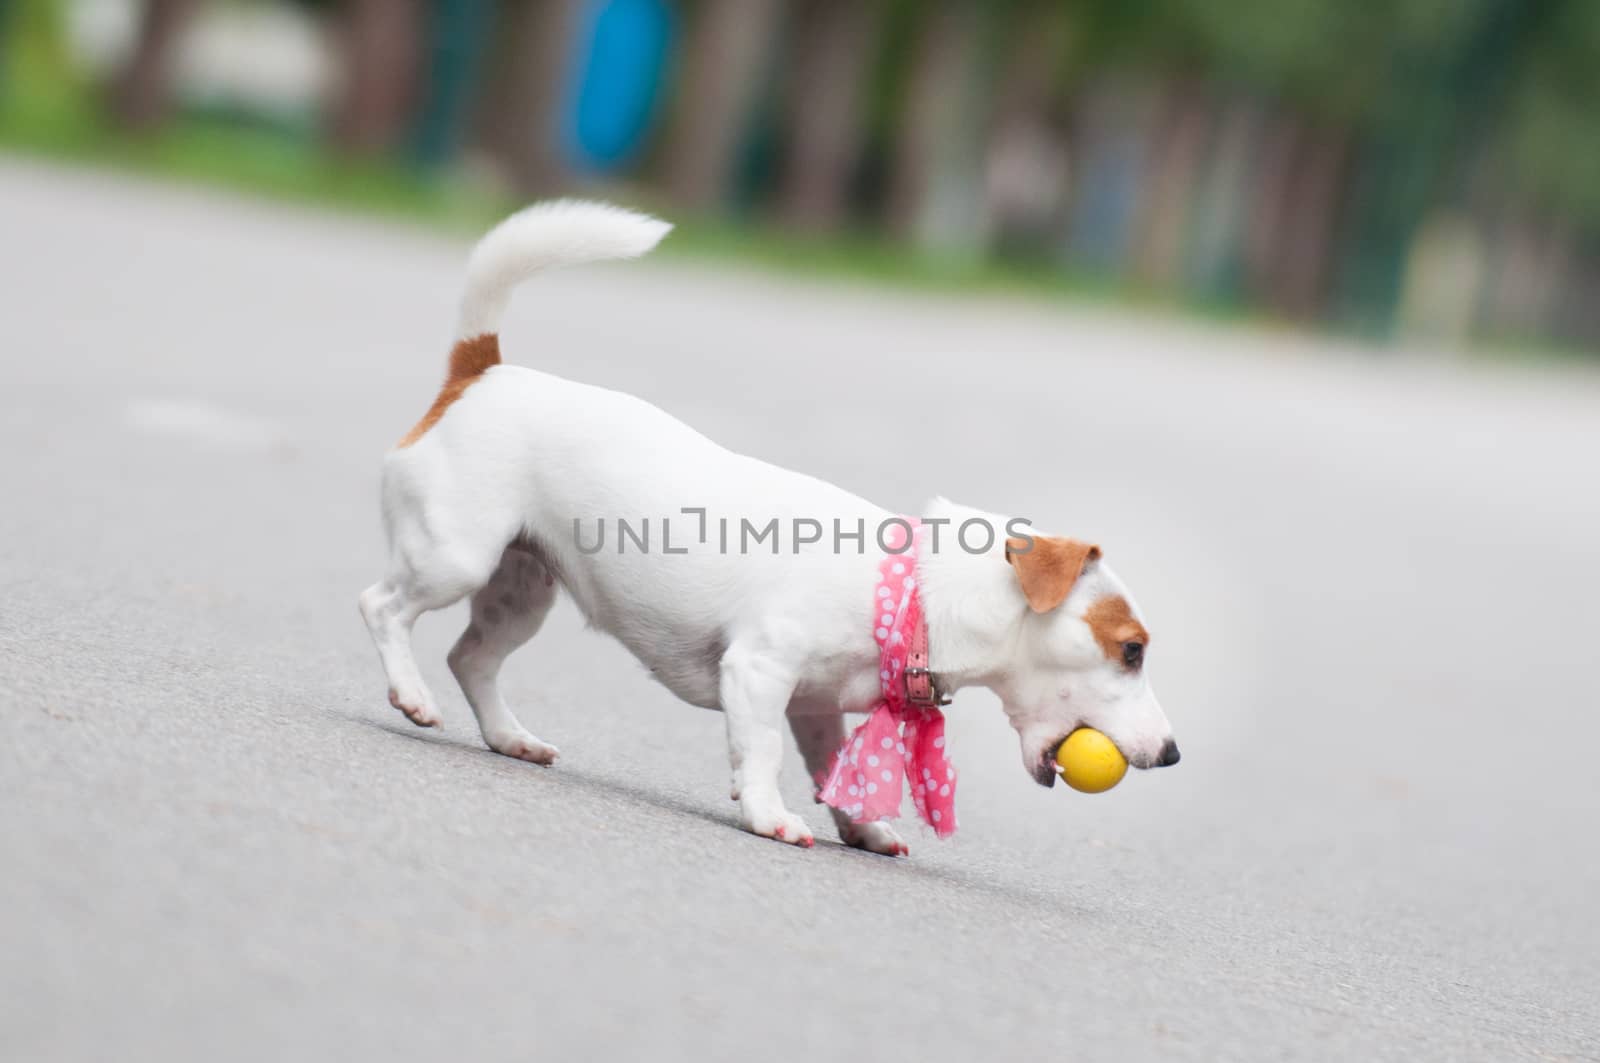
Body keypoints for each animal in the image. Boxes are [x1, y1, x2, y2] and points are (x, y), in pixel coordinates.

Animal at [360, 203, 1177, 858]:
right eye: (1131, 650)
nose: (1172, 754)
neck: (909, 596)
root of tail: (482, 372)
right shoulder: (757, 671)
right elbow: (759, 753)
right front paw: (768, 814)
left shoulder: (816, 705)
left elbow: (832, 764)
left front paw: (863, 825)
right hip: (456, 558)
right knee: (383, 607)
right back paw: (411, 693)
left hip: (522, 592)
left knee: (472, 657)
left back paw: (509, 735)